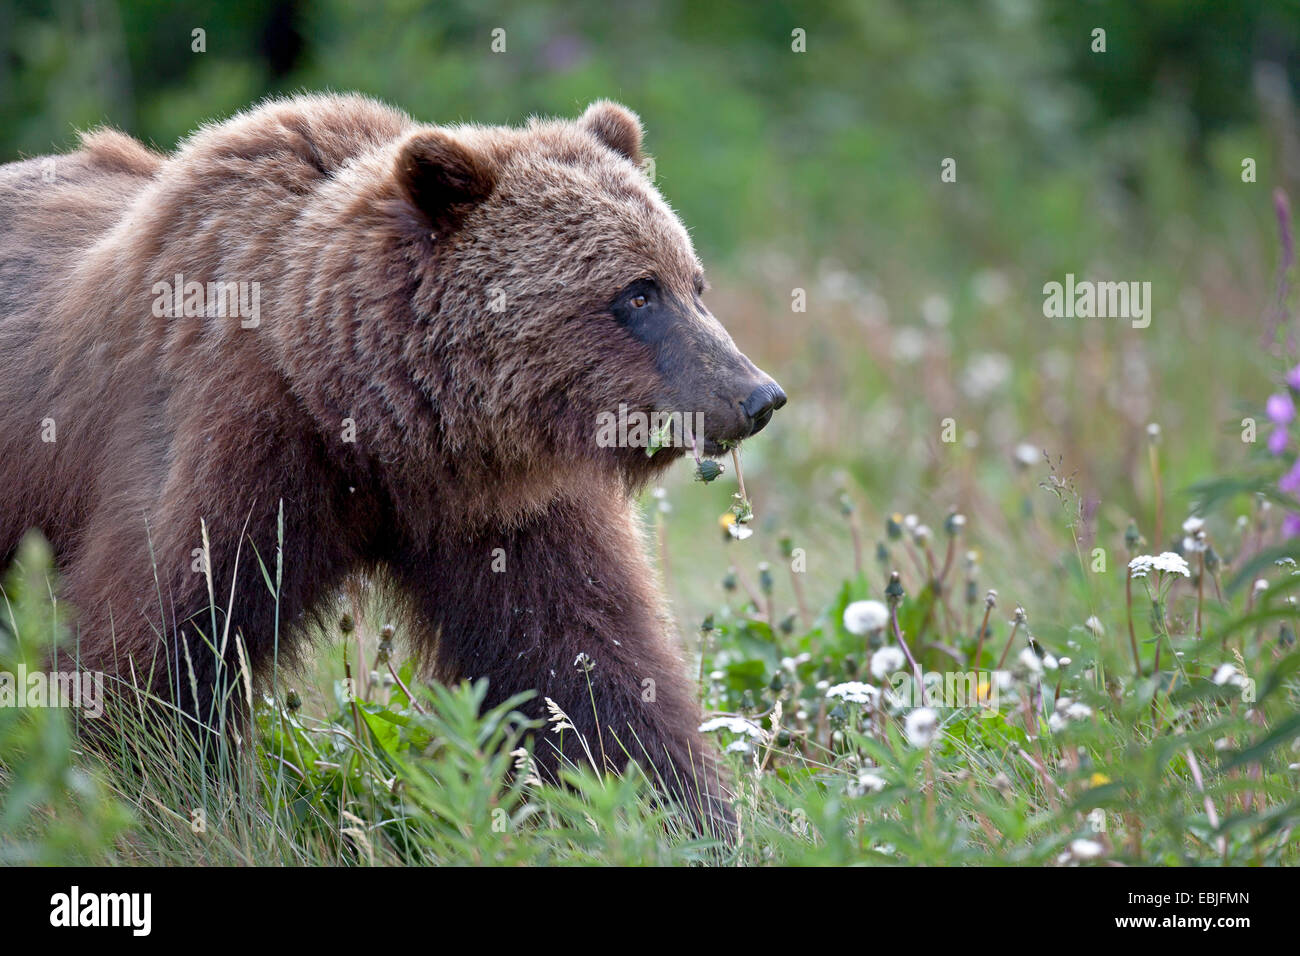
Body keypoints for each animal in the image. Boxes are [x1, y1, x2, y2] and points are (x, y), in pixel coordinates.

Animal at [0, 93, 780, 832]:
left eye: (694, 283)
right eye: (637, 293)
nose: (757, 395)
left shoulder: (502, 504)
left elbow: (583, 657)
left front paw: (677, 810)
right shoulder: (229, 439)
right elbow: (152, 643)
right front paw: (157, 790)